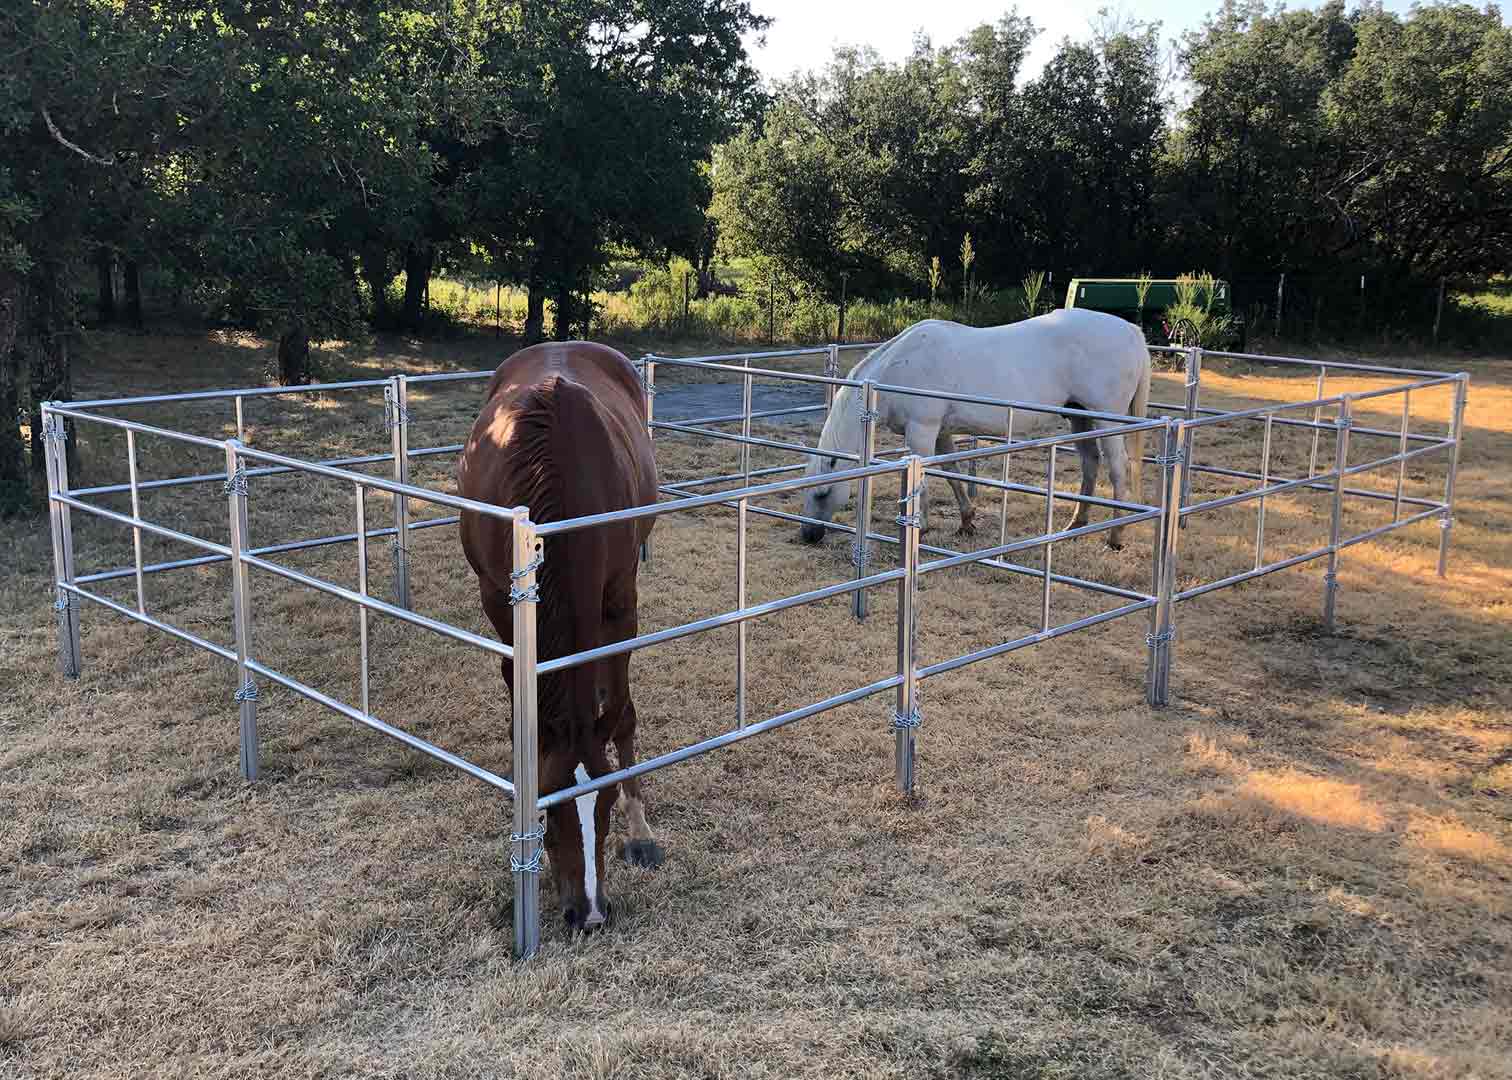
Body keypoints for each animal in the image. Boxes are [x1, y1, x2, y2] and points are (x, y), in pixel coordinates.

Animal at [458, 341, 661, 933]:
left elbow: (622, 711)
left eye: (607, 799)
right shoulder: (499, 603)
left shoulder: (620, 600)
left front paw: (640, 831)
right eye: (548, 805)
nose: (589, 914)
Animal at [798, 309, 1151, 549]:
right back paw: (1076, 523)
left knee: (1117, 468)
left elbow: (923, 482)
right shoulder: (941, 433)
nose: (808, 535)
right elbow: (953, 473)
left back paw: (1115, 535)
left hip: (1107, 419)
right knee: (1090, 462)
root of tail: (1132, 330)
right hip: (1080, 416)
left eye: (823, 493)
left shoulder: (921, 432)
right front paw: (967, 521)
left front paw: (921, 528)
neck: (894, 370)